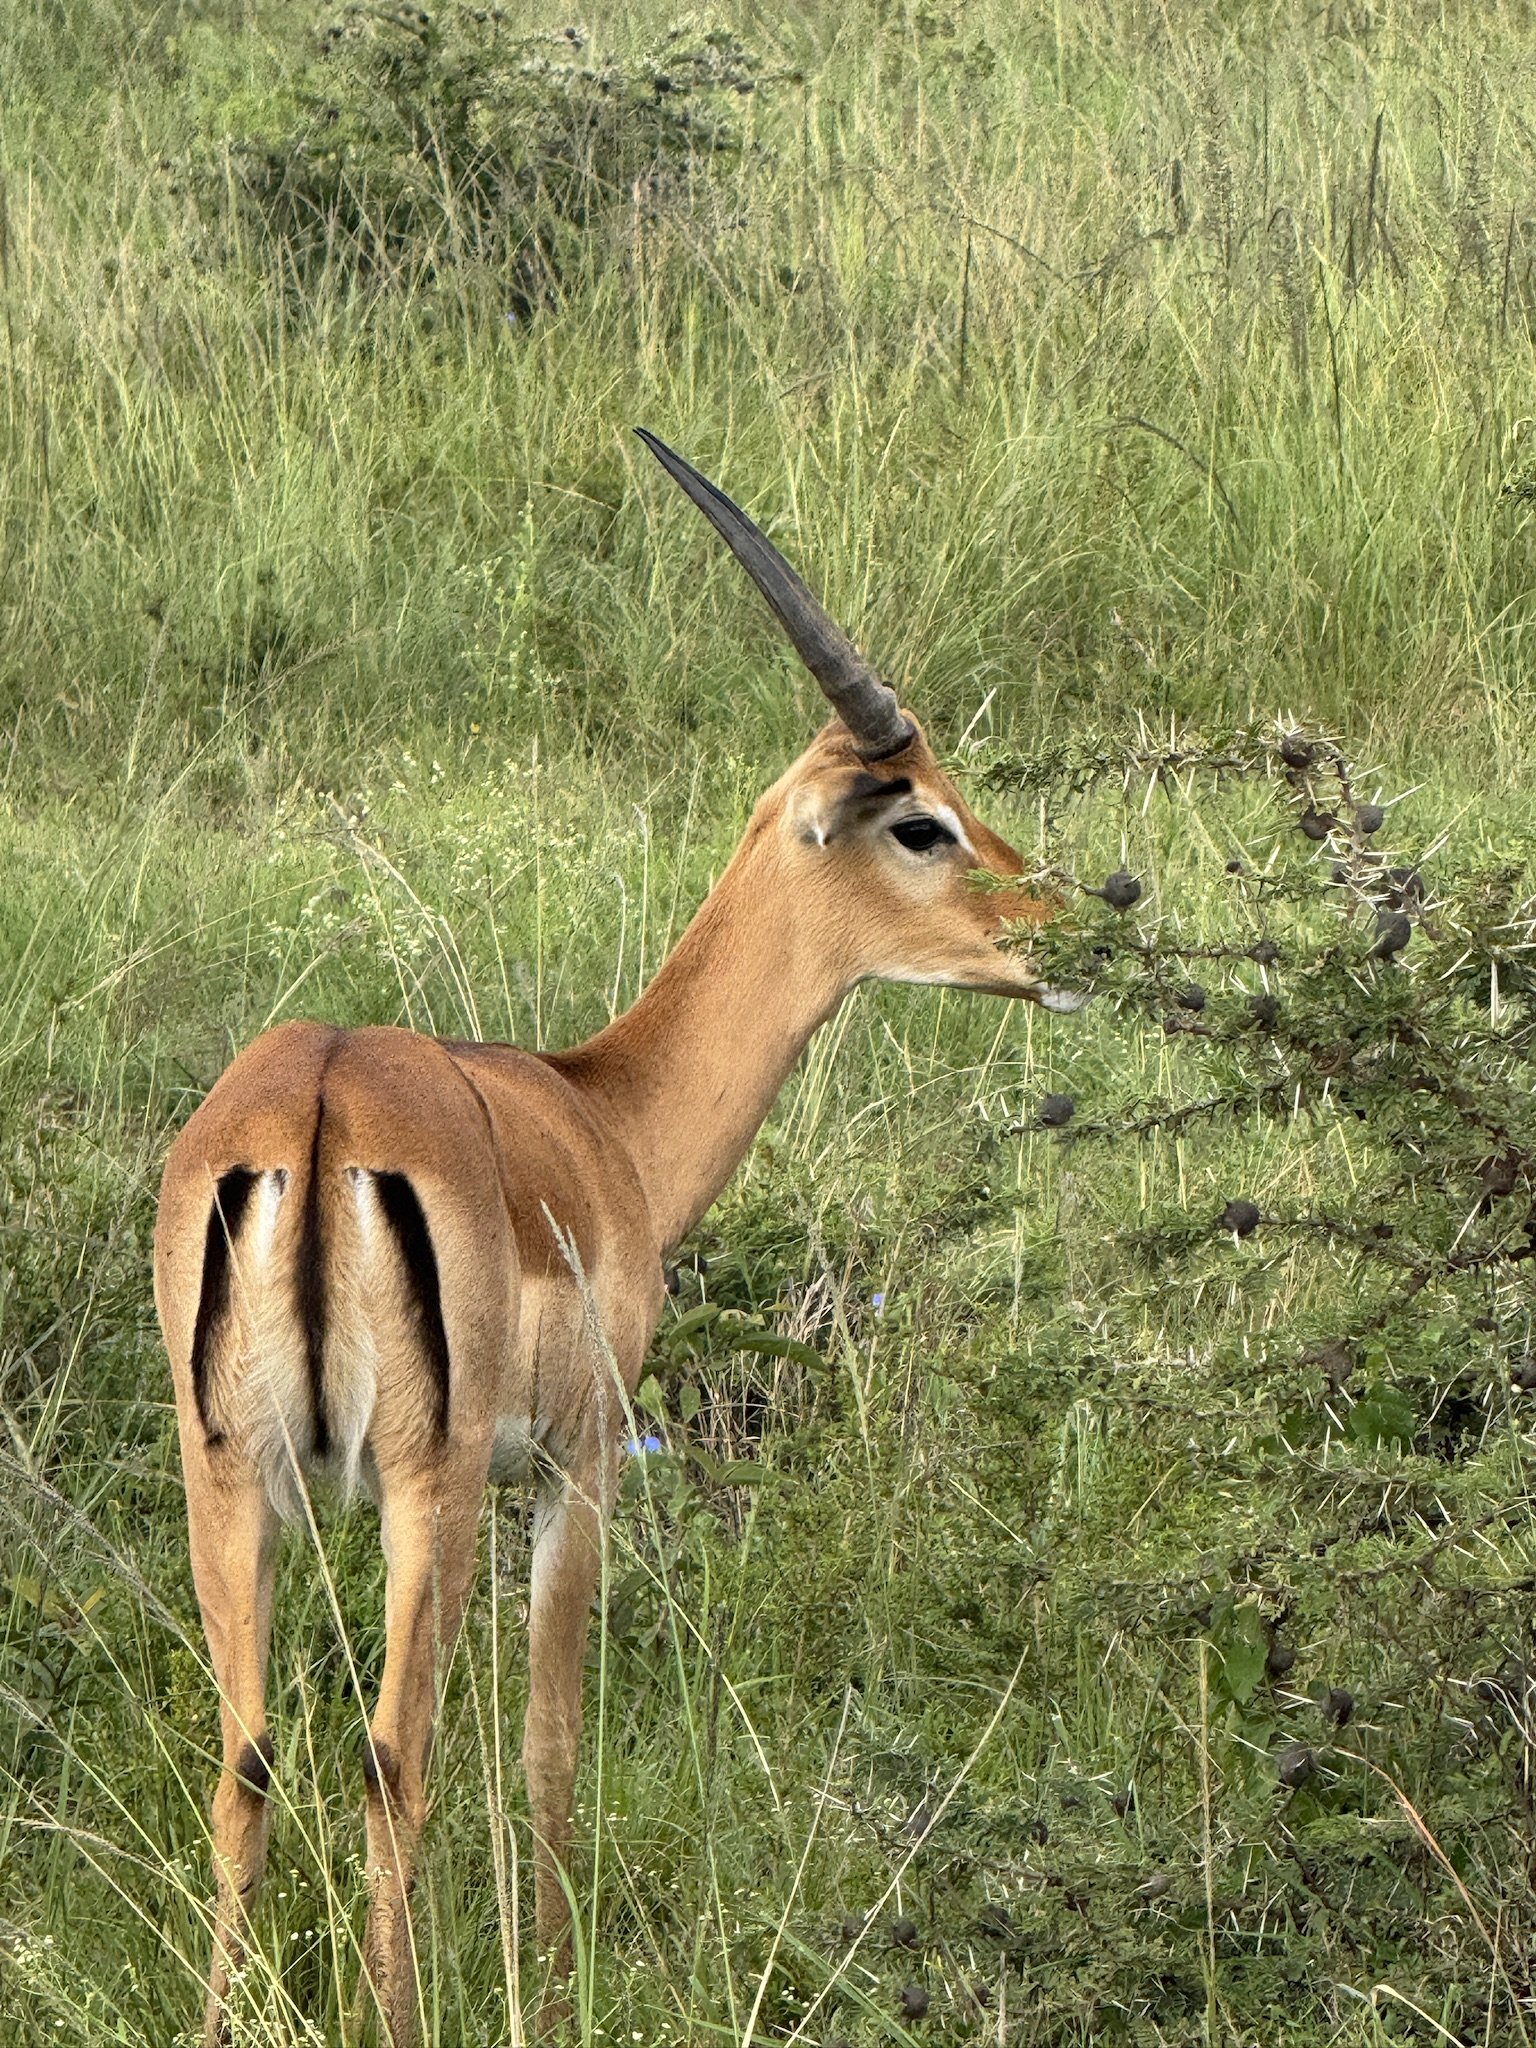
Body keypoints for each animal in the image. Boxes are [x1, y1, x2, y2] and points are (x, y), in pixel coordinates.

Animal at [153, 430, 1085, 2045]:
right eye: (922, 819)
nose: (1081, 919)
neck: (602, 1118)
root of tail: (318, 1100)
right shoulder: (575, 1464)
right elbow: (549, 1741)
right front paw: (556, 1979)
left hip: (234, 1478)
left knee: (248, 1759)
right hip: (425, 1487)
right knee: (395, 1752)